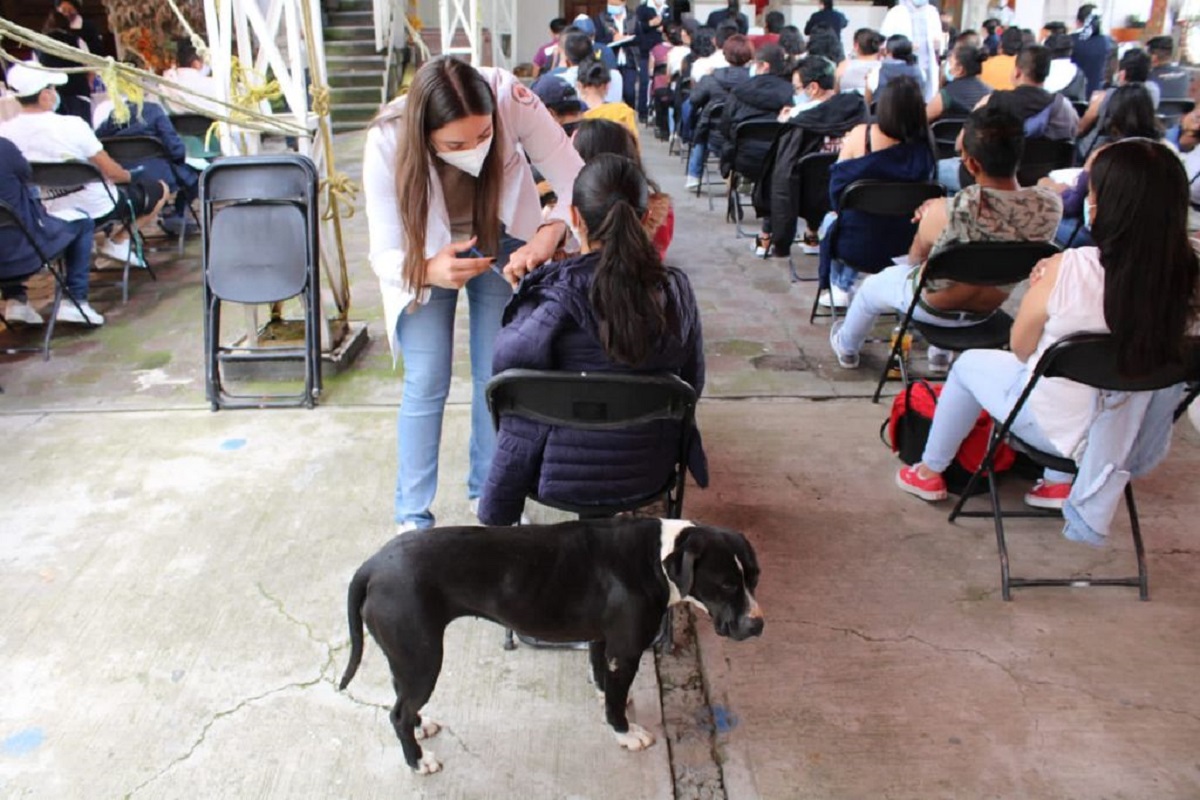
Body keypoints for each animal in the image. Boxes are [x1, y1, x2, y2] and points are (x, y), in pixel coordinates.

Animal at [343, 520, 763, 777]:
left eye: (754, 578)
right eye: (726, 584)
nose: (758, 624)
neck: (657, 558)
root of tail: (372, 566)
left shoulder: (602, 640)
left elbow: (601, 678)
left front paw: (607, 700)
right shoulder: (625, 651)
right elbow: (615, 701)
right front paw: (624, 732)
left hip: (408, 656)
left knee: (402, 698)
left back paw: (421, 725)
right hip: (424, 659)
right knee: (398, 714)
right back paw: (417, 761)